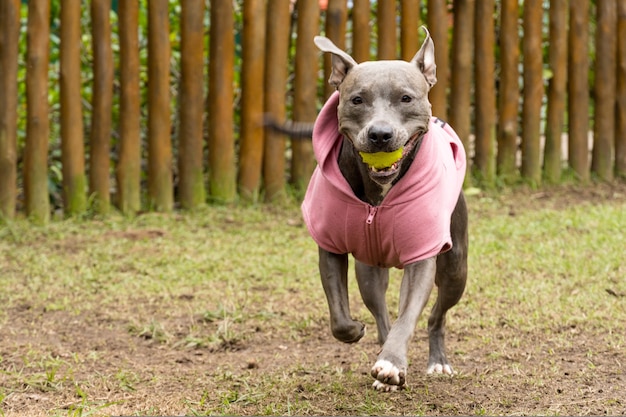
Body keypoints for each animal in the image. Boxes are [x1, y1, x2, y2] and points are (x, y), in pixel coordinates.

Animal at [300, 29, 466, 390]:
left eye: (406, 98)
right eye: (356, 100)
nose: (379, 134)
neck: (378, 197)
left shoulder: (423, 254)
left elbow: (409, 315)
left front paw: (391, 364)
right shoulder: (330, 246)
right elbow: (339, 317)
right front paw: (356, 331)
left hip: (455, 268)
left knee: (435, 315)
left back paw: (436, 361)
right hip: (369, 271)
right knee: (381, 311)